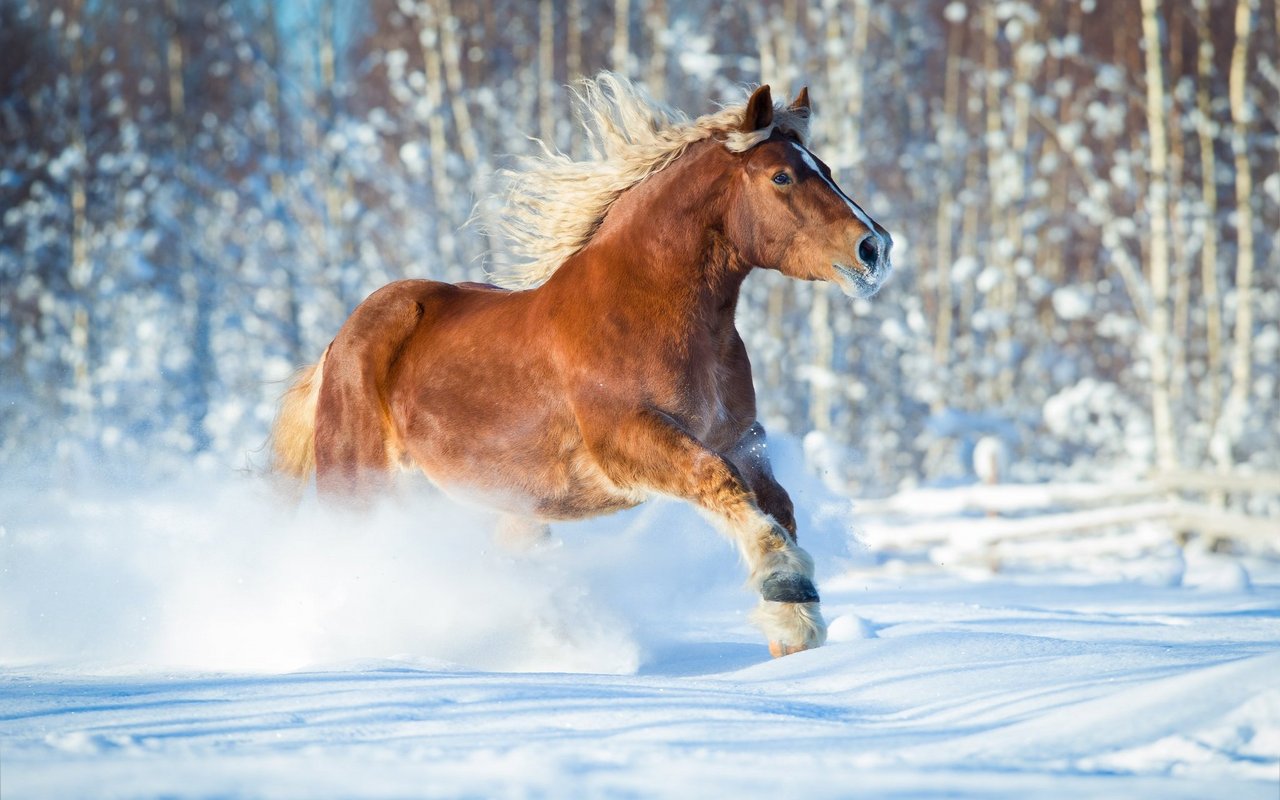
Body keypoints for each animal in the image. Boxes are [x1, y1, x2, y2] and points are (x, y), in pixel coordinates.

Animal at [270, 74, 890, 655]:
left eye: (825, 168)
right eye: (781, 177)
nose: (876, 249)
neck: (645, 307)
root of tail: (338, 343)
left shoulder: (739, 437)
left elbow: (775, 502)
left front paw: (794, 629)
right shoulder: (627, 441)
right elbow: (718, 482)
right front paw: (787, 593)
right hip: (359, 488)